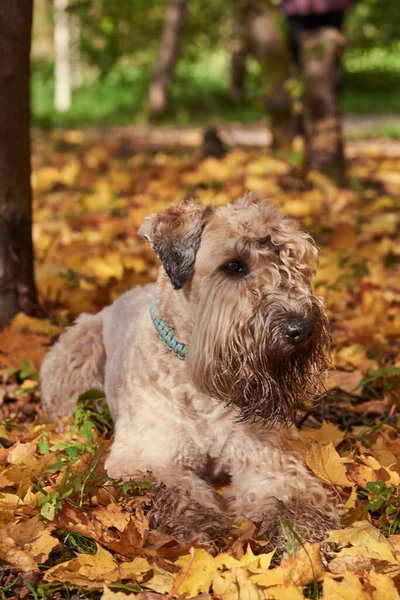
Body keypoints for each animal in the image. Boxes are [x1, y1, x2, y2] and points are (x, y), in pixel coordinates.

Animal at [39, 196, 340, 548]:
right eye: (233, 266)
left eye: (294, 261)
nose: (301, 328)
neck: (196, 385)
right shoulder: (147, 456)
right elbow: (175, 490)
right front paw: (197, 527)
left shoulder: (265, 455)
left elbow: (291, 492)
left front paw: (305, 528)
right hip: (77, 352)